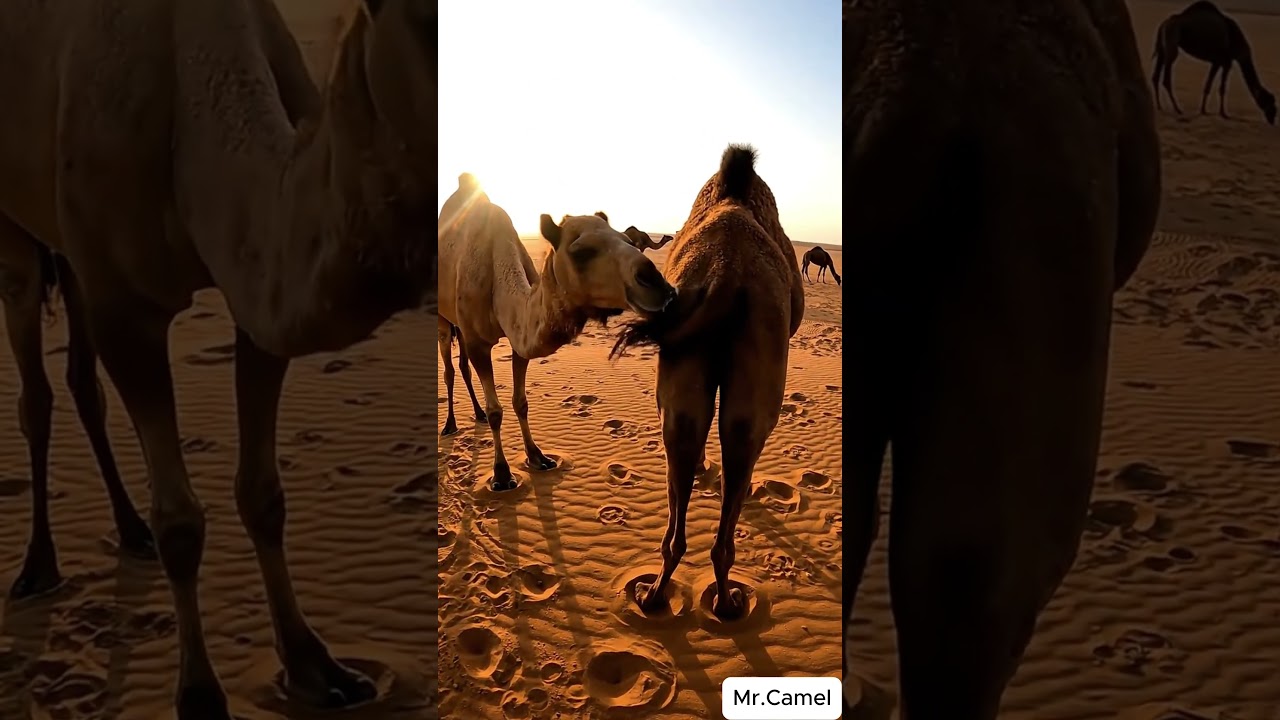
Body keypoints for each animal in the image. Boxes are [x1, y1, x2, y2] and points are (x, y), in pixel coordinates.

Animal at [439, 175, 676, 491]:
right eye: (581, 252)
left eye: (629, 242)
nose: (657, 283)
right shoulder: (479, 342)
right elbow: (496, 411)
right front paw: (501, 475)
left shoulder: (519, 343)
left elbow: (521, 402)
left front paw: (538, 457)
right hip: (443, 319)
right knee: (450, 369)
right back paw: (450, 425)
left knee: (462, 366)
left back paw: (475, 414)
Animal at [610, 144, 805, 620]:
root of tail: (726, 273)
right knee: (739, 451)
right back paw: (725, 601)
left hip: (683, 375)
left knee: (686, 444)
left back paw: (660, 596)